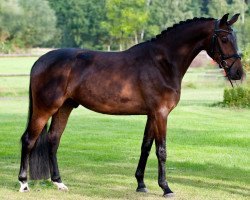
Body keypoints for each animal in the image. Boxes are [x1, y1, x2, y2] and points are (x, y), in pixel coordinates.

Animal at [18, 13, 244, 197]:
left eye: (234, 37)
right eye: (224, 39)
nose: (238, 73)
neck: (163, 63)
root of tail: (40, 61)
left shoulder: (152, 114)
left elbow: (145, 147)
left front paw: (141, 184)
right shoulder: (161, 114)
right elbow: (161, 150)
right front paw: (166, 188)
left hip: (64, 107)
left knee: (53, 140)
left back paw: (59, 183)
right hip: (45, 108)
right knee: (29, 140)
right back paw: (23, 183)